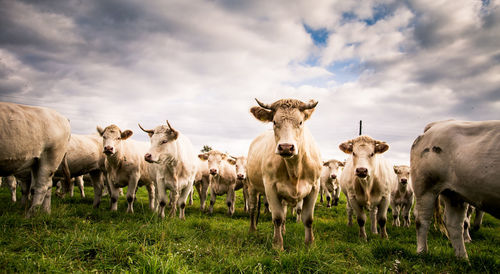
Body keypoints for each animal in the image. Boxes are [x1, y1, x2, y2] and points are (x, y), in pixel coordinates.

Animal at [245, 98, 320, 250]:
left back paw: (284, 231)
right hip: (251, 186)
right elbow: (277, 218)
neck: (294, 168)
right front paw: (277, 245)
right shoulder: (270, 187)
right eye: (274, 122)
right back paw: (252, 230)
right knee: (253, 209)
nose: (286, 147)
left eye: (300, 122)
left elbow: (308, 219)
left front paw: (310, 244)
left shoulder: (315, 187)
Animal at [410, 120, 500, 260]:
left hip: (454, 194)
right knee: (422, 220)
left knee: (454, 225)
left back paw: (463, 259)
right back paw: (422, 252)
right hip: (426, 188)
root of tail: (436, 125)